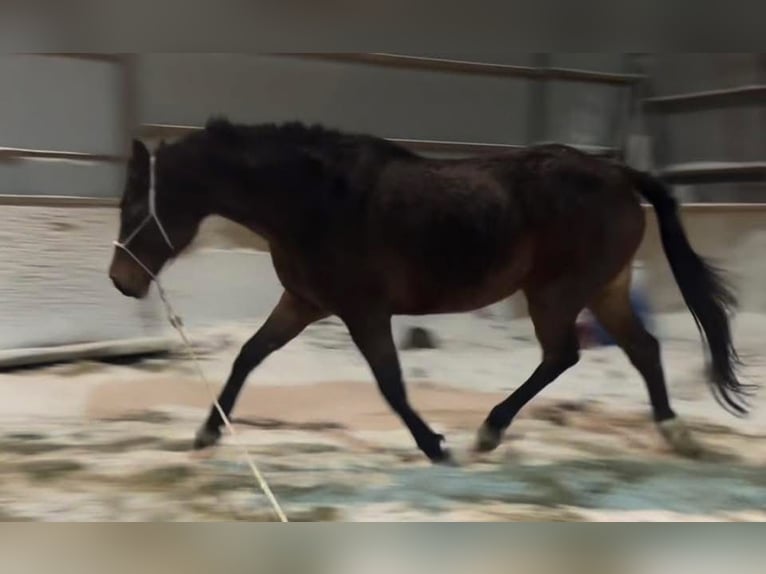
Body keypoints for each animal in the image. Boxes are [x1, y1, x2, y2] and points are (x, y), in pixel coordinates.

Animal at [109, 118, 751, 464]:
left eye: (137, 208)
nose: (121, 281)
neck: (316, 200)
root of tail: (621, 174)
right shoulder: (304, 303)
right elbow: (248, 355)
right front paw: (206, 432)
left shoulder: (364, 312)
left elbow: (391, 384)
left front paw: (435, 446)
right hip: (605, 289)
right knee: (642, 349)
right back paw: (674, 433)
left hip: (557, 292)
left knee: (563, 354)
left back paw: (489, 431)